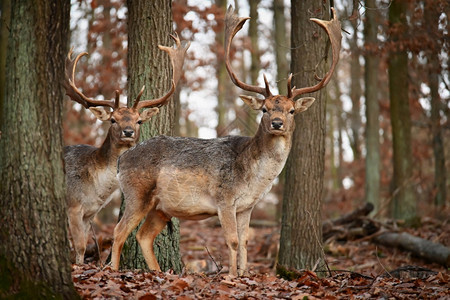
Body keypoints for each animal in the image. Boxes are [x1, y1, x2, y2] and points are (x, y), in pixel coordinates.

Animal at [62, 35, 189, 264]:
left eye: (139, 121)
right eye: (113, 119)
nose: (128, 132)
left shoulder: (89, 213)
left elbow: (82, 245)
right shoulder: (73, 204)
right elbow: (79, 246)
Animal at [111, 5, 342, 276]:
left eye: (292, 111)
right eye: (264, 109)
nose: (277, 123)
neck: (252, 178)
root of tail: (122, 160)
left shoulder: (246, 206)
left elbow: (244, 241)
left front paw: (243, 274)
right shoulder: (225, 198)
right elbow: (231, 240)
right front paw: (232, 276)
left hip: (161, 207)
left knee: (143, 235)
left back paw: (158, 272)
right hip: (137, 192)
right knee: (119, 231)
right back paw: (112, 271)